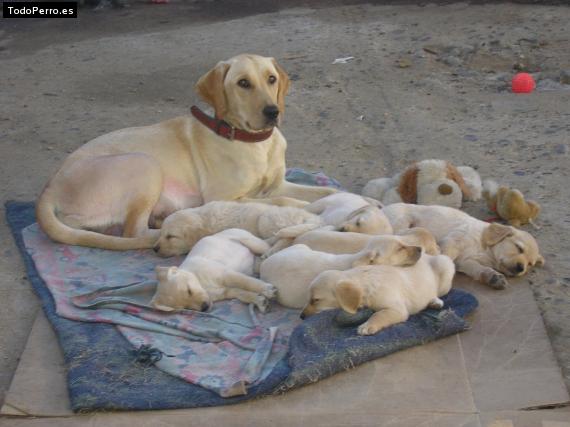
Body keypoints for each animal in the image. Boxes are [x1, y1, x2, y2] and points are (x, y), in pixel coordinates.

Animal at [35, 55, 336, 252]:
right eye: (243, 83)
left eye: (271, 79)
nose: (273, 112)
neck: (251, 141)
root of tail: (49, 189)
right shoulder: (224, 197)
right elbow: (281, 201)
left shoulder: (278, 184)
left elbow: (327, 192)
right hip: (144, 163)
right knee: (134, 232)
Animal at [152, 201, 320, 258]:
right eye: (161, 234)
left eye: (171, 236)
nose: (154, 249)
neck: (204, 219)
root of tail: (311, 216)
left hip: (267, 219)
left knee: (287, 237)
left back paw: (271, 251)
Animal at [298, 252, 452, 336]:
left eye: (315, 300)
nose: (301, 317)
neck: (367, 285)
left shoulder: (397, 309)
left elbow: (379, 314)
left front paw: (367, 326)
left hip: (445, 265)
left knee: (438, 292)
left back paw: (435, 301)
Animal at [380, 202, 540, 290]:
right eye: (519, 248)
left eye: (530, 264)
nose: (521, 268)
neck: (486, 249)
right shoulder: (453, 241)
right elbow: (445, 257)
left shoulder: (466, 262)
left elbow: (478, 269)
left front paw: (492, 277)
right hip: (400, 221)